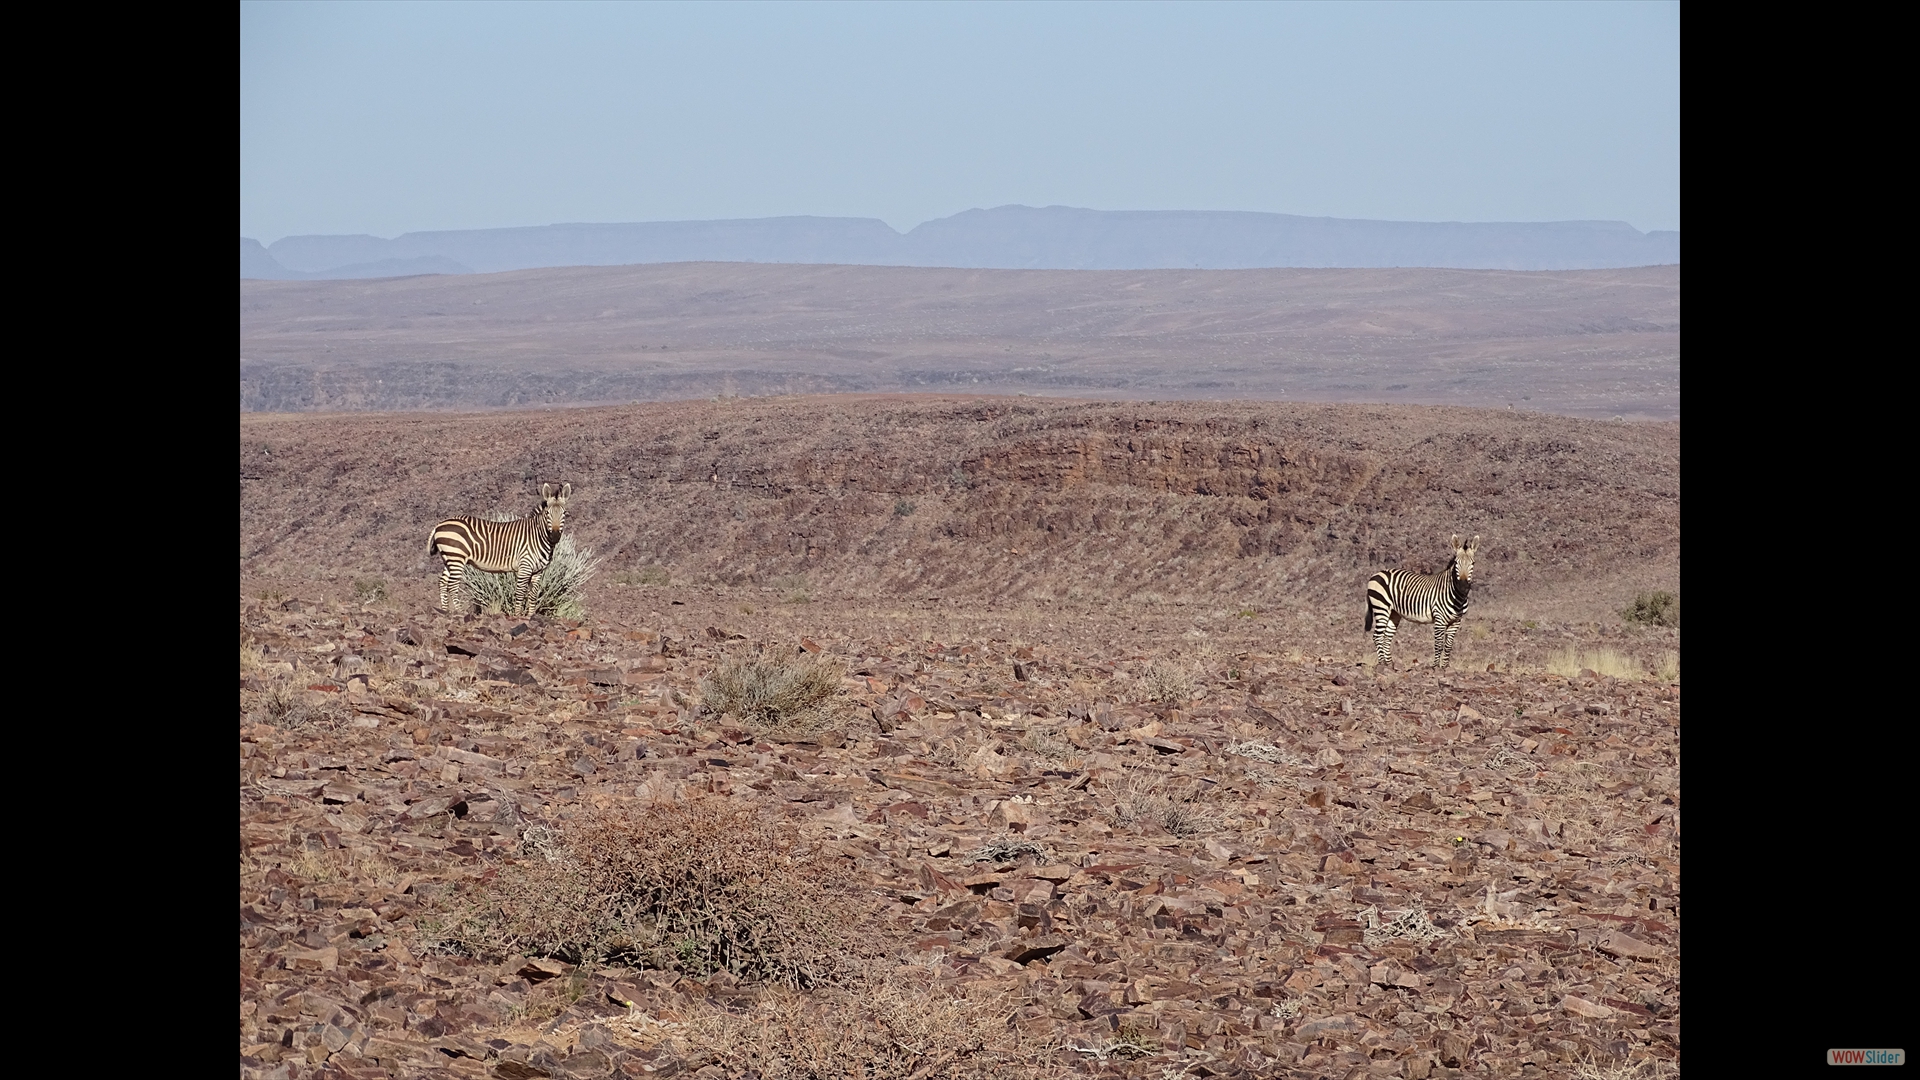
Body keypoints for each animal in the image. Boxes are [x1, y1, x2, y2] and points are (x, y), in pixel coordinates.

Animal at [426, 480, 564, 614]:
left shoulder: (538, 571)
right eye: (547, 514)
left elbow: (533, 595)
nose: (555, 535)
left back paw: (445, 611)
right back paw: (460, 612)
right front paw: (517, 616)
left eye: (564, 513)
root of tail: (439, 525)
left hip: (449, 558)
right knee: (452, 585)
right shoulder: (525, 566)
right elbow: (520, 593)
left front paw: (530, 616)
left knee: (443, 582)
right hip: (456, 557)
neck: (537, 536)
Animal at [1367, 534, 1482, 668]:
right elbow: (1438, 645)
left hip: (1393, 613)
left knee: (1386, 637)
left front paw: (1445, 667)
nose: (1463, 586)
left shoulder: (1456, 621)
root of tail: (1377, 573)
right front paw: (1436, 667)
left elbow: (1448, 646)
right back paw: (1382, 664)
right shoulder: (1439, 619)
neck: (1457, 596)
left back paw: (1390, 665)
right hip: (1381, 607)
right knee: (1377, 636)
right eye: (1456, 563)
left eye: (1473, 563)